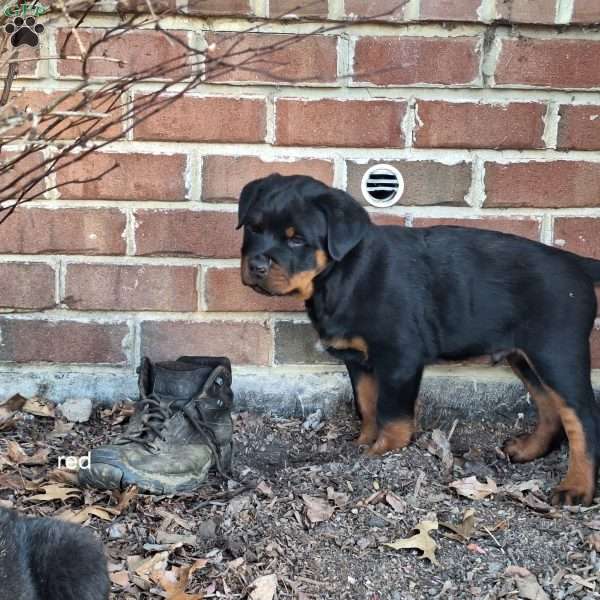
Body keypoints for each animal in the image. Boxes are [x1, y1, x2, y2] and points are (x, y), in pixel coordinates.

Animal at [238, 172, 600, 506]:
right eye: (253, 229)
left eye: (297, 240)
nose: (255, 265)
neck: (342, 276)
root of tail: (578, 264)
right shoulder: (359, 360)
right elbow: (367, 405)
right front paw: (363, 443)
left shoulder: (400, 358)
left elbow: (392, 414)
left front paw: (382, 451)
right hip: (525, 357)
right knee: (549, 407)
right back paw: (528, 449)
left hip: (557, 353)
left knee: (582, 417)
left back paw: (577, 487)